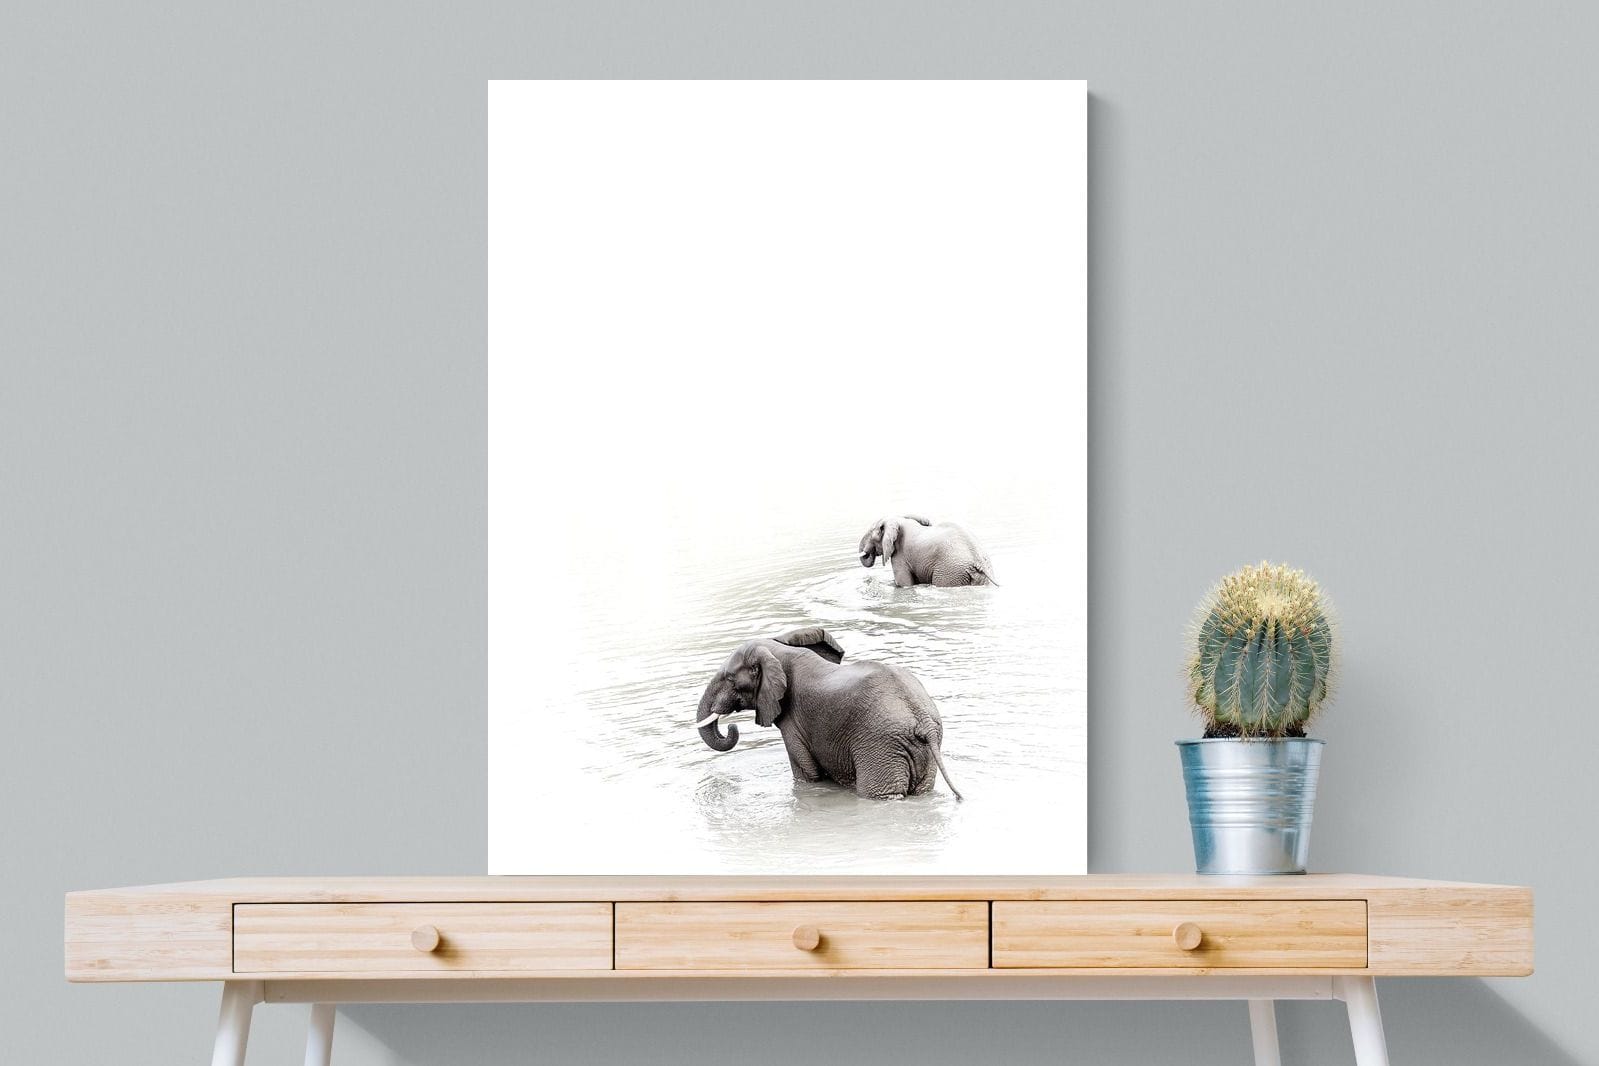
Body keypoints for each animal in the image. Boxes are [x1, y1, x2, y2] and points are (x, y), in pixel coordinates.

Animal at [694, 626, 963, 801]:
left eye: (730, 679)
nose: (731, 727)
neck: (780, 651)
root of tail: (922, 719)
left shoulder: (793, 721)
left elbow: (805, 774)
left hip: (880, 746)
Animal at [858, 515, 996, 587]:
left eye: (871, 534)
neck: (898, 519)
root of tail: (978, 561)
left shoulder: (900, 556)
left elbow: (904, 583)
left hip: (950, 571)